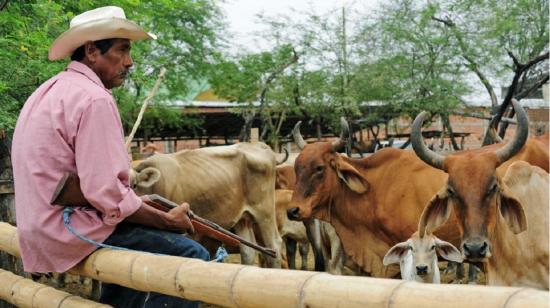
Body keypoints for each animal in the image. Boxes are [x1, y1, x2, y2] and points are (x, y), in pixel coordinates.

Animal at [131, 142, 282, 268]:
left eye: (134, 185)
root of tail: (259, 145)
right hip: (242, 218)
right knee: (248, 252)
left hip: (265, 213)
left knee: (274, 247)